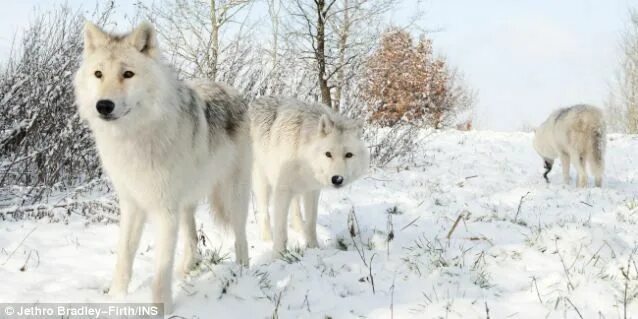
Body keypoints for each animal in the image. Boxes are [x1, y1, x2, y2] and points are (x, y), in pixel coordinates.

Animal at [74, 21, 252, 312]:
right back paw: (185, 271)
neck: (134, 139)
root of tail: (231, 90)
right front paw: (116, 299)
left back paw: (242, 272)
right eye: (98, 74)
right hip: (187, 202)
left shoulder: (164, 210)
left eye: (128, 74)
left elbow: (160, 270)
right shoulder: (131, 204)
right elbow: (124, 257)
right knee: (192, 239)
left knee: (241, 237)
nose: (104, 106)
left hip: (233, 196)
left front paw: (162, 310)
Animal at [250, 97, 370, 255]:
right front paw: (279, 254)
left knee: (296, 210)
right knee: (264, 213)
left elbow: (311, 223)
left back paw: (299, 228)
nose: (337, 179)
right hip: (263, 183)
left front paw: (314, 248)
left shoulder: (312, 191)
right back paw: (267, 240)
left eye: (349, 155)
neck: (303, 154)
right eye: (328, 154)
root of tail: (256, 101)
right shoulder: (282, 190)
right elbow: (281, 229)